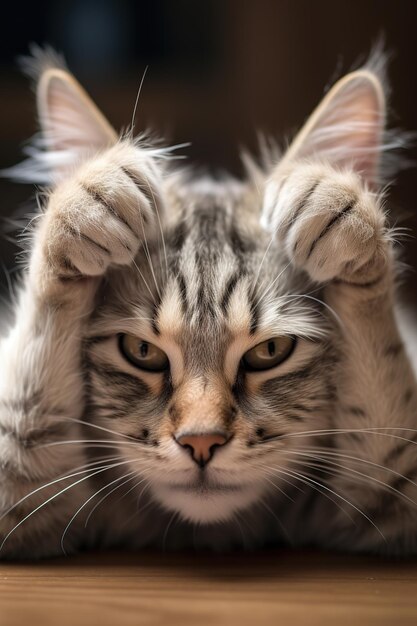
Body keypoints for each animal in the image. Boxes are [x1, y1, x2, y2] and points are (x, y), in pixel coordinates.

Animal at [0, 46, 416, 560]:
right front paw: (90, 194)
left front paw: (332, 198)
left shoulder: (389, 482)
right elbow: (27, 384)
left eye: (269, 352)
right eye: (142, 352)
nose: (202, 443)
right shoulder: (24, 488)